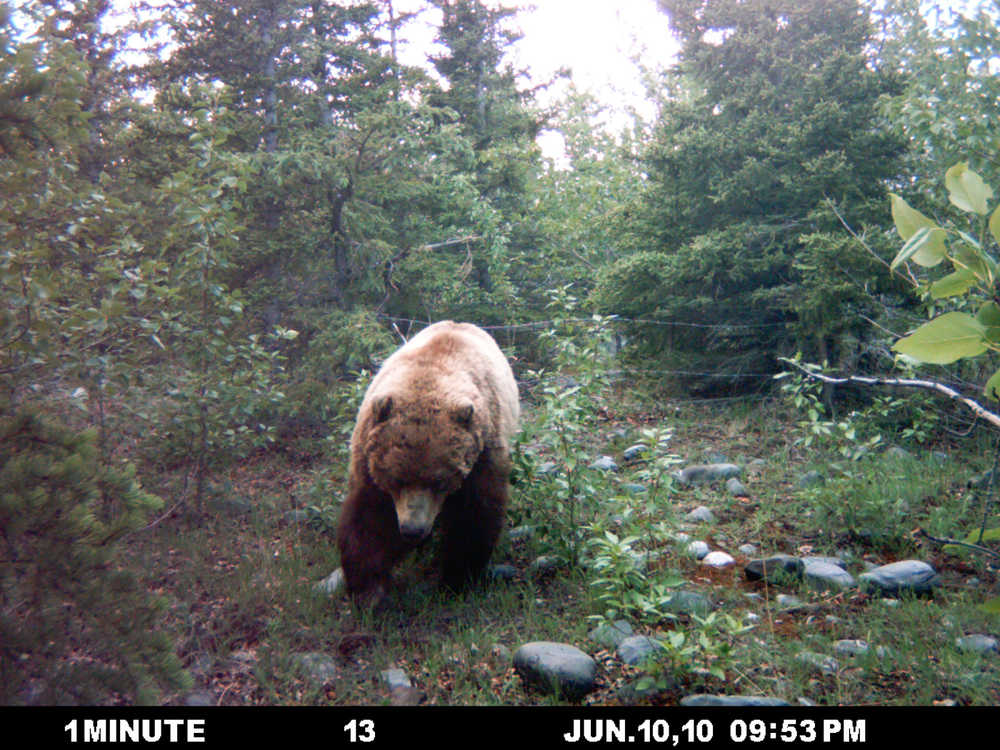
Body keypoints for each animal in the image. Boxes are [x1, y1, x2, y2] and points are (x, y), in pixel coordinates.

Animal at [338, 320, 520, 604]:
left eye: (439, 482)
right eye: (396, 480)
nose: (413, 529)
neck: (429, 375)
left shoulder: (482, 454)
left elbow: (473, 516)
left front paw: (456, 581)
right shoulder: (369, 455)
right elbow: (369, 516)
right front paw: (370, 590)